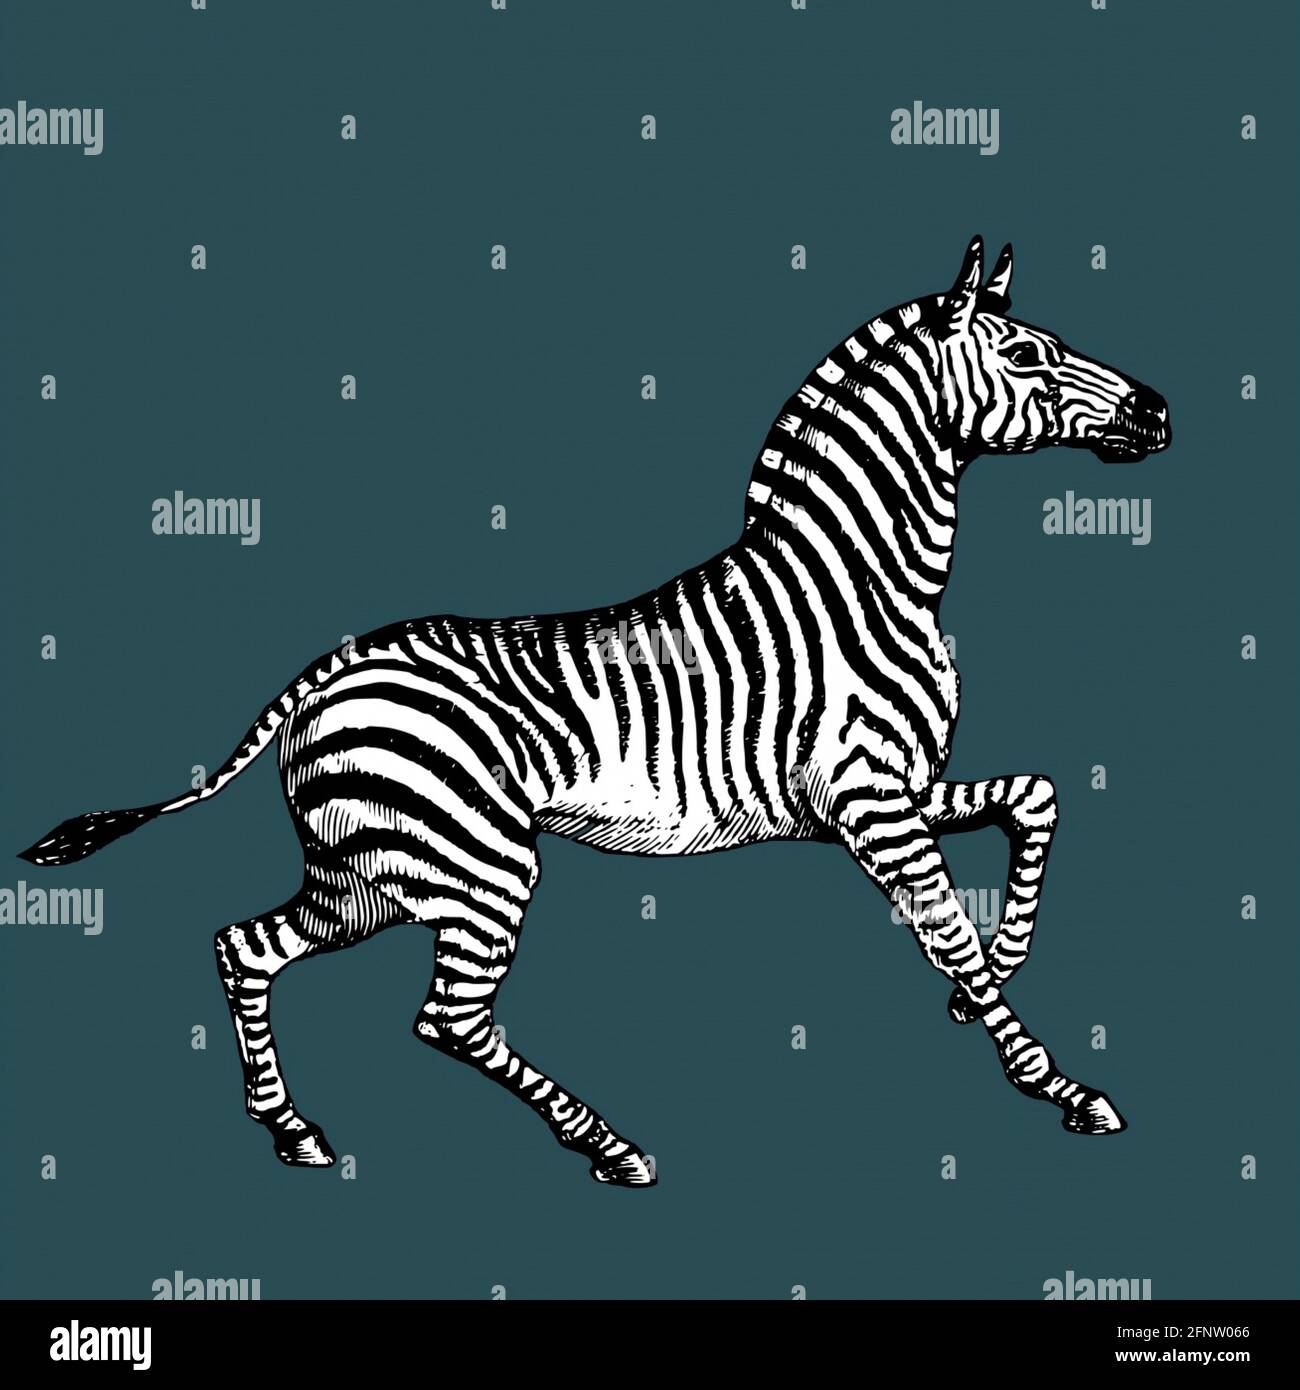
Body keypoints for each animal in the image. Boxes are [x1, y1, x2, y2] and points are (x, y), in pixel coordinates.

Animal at [20, 236, 1171, 1187]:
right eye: (1024, 355)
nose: (1160, 411)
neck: (859, 581)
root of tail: (318, 674)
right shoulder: (870, 802)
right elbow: (952, 931)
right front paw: (1059, 1086)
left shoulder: (892, 794)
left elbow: (1035, 801)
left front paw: (995, 982)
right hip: (471, 864)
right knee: (445, 1018)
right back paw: (609, 1146)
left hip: (367, 873)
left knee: (245, 946)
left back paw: (293, 1129)